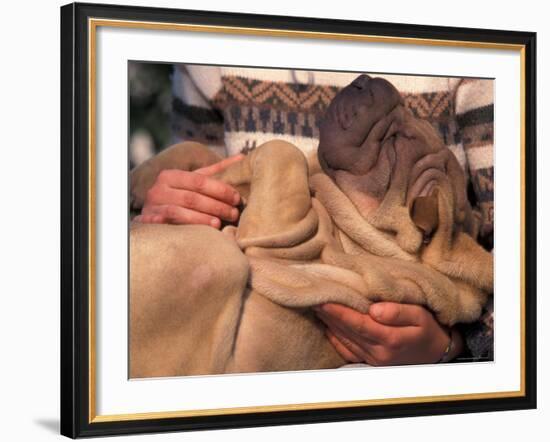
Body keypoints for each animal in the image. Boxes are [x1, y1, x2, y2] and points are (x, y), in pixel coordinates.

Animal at [130, 74, 496, 378]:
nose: (369, 80)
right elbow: (202, 150)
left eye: (393, 142)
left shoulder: (284, 240)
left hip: (219, 258)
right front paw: (143, 182)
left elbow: (281, 150)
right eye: (409, 115)